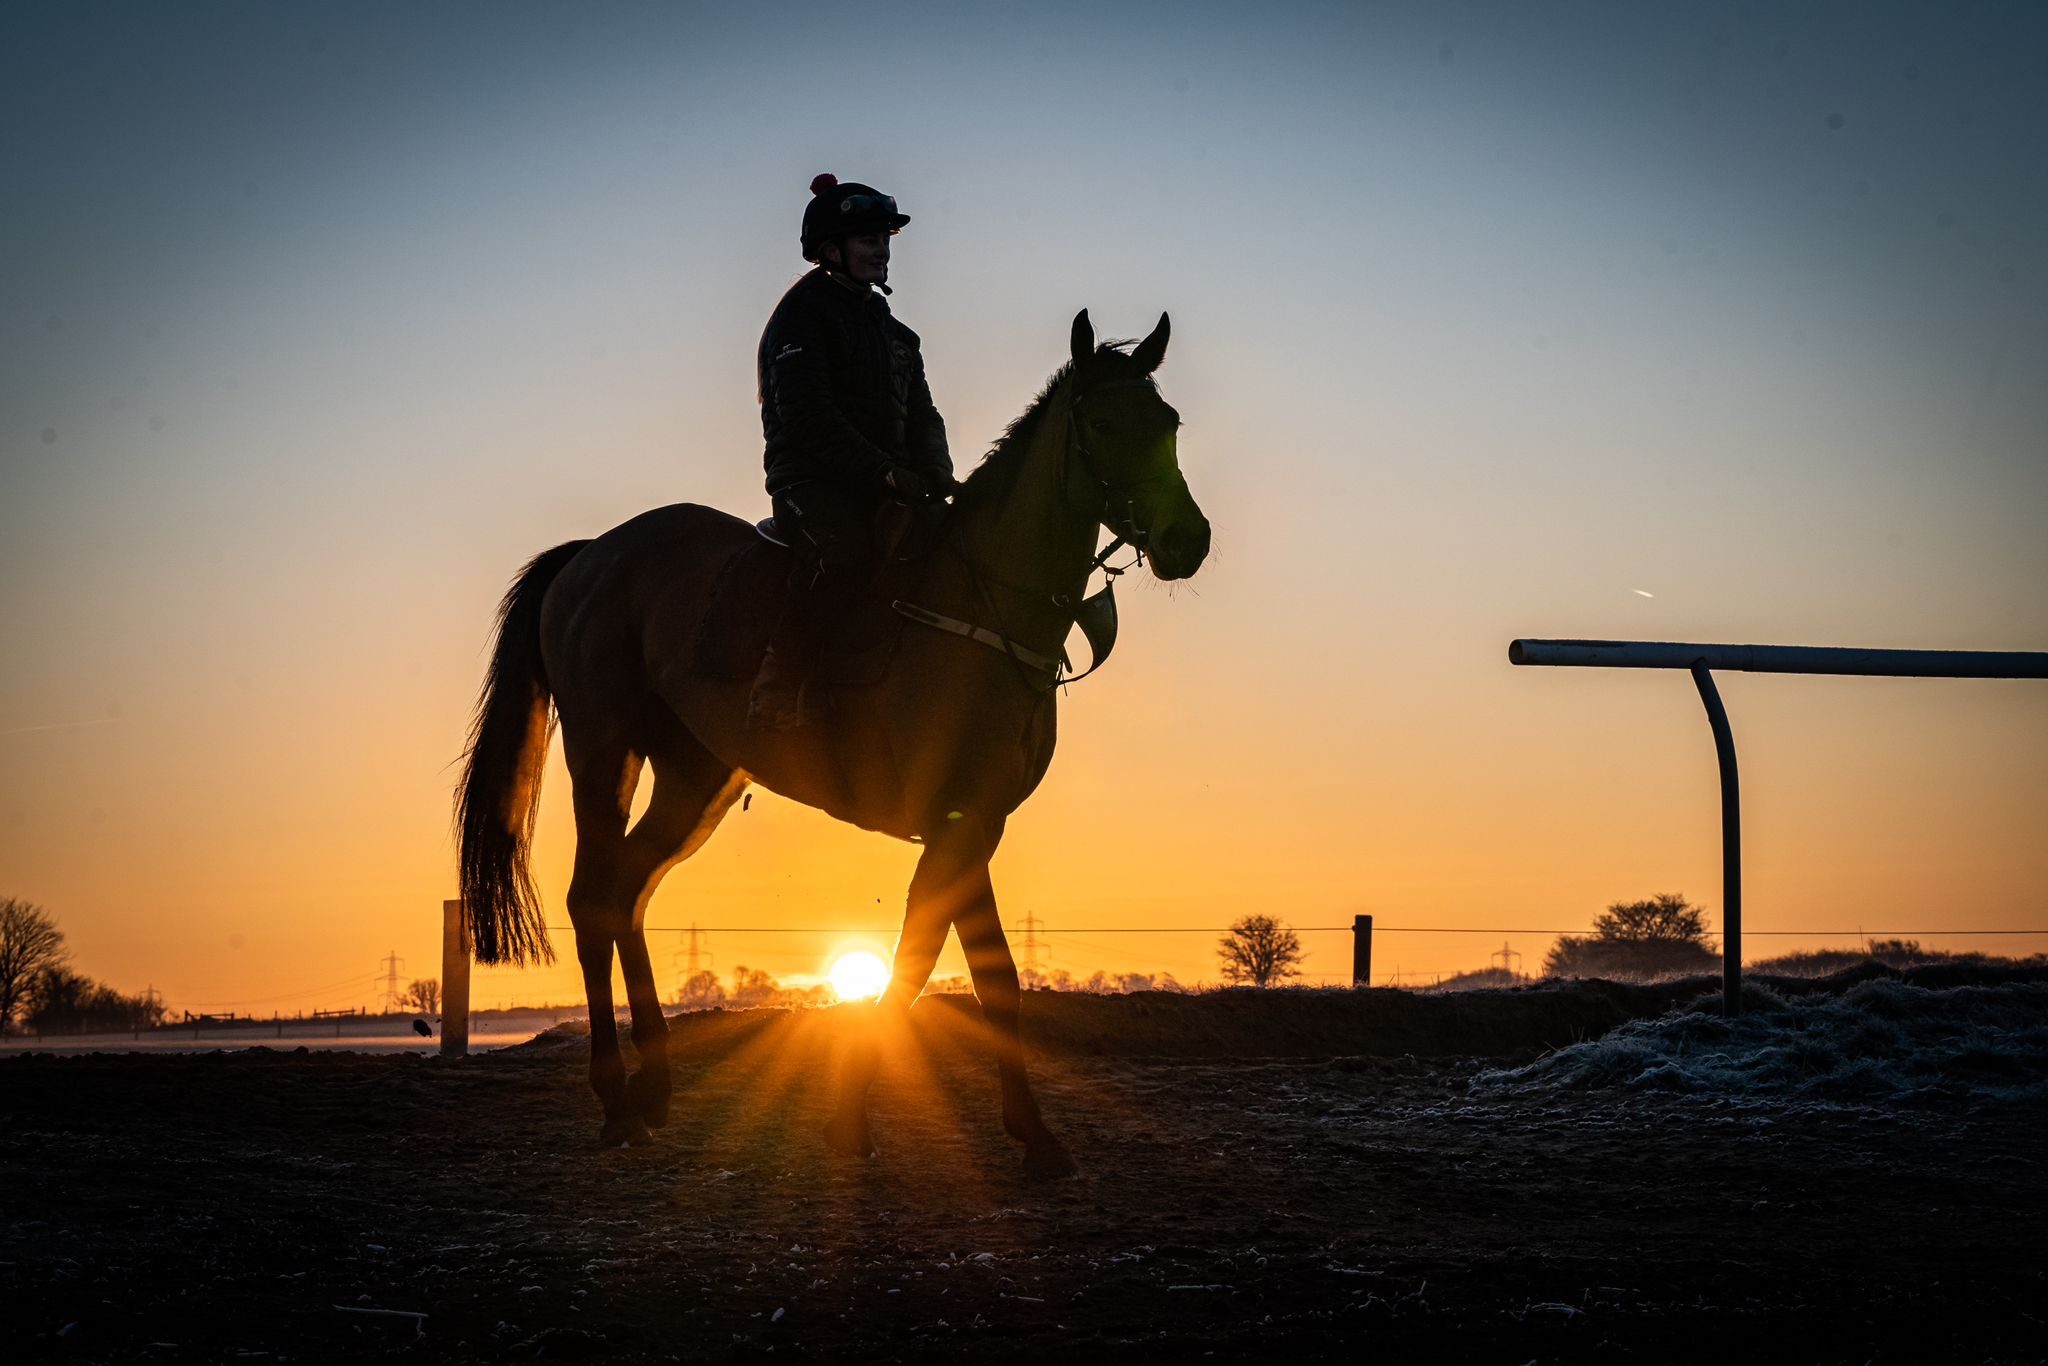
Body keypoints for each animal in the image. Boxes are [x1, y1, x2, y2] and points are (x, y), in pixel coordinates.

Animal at [456, 309, 1204, 1179]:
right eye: (1106, 424)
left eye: (1168, 422)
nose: (1189, 540)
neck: (977, 608)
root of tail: (591, 555)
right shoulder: (953, 821)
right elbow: (921, 964)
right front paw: (852, 1118)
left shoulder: (977, 823)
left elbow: (989, 975)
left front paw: (1034, 1135)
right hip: (603, 750)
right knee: (594, 898)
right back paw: (616, 1101)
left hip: (696, 777)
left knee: (630, 892)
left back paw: (655, 1089)